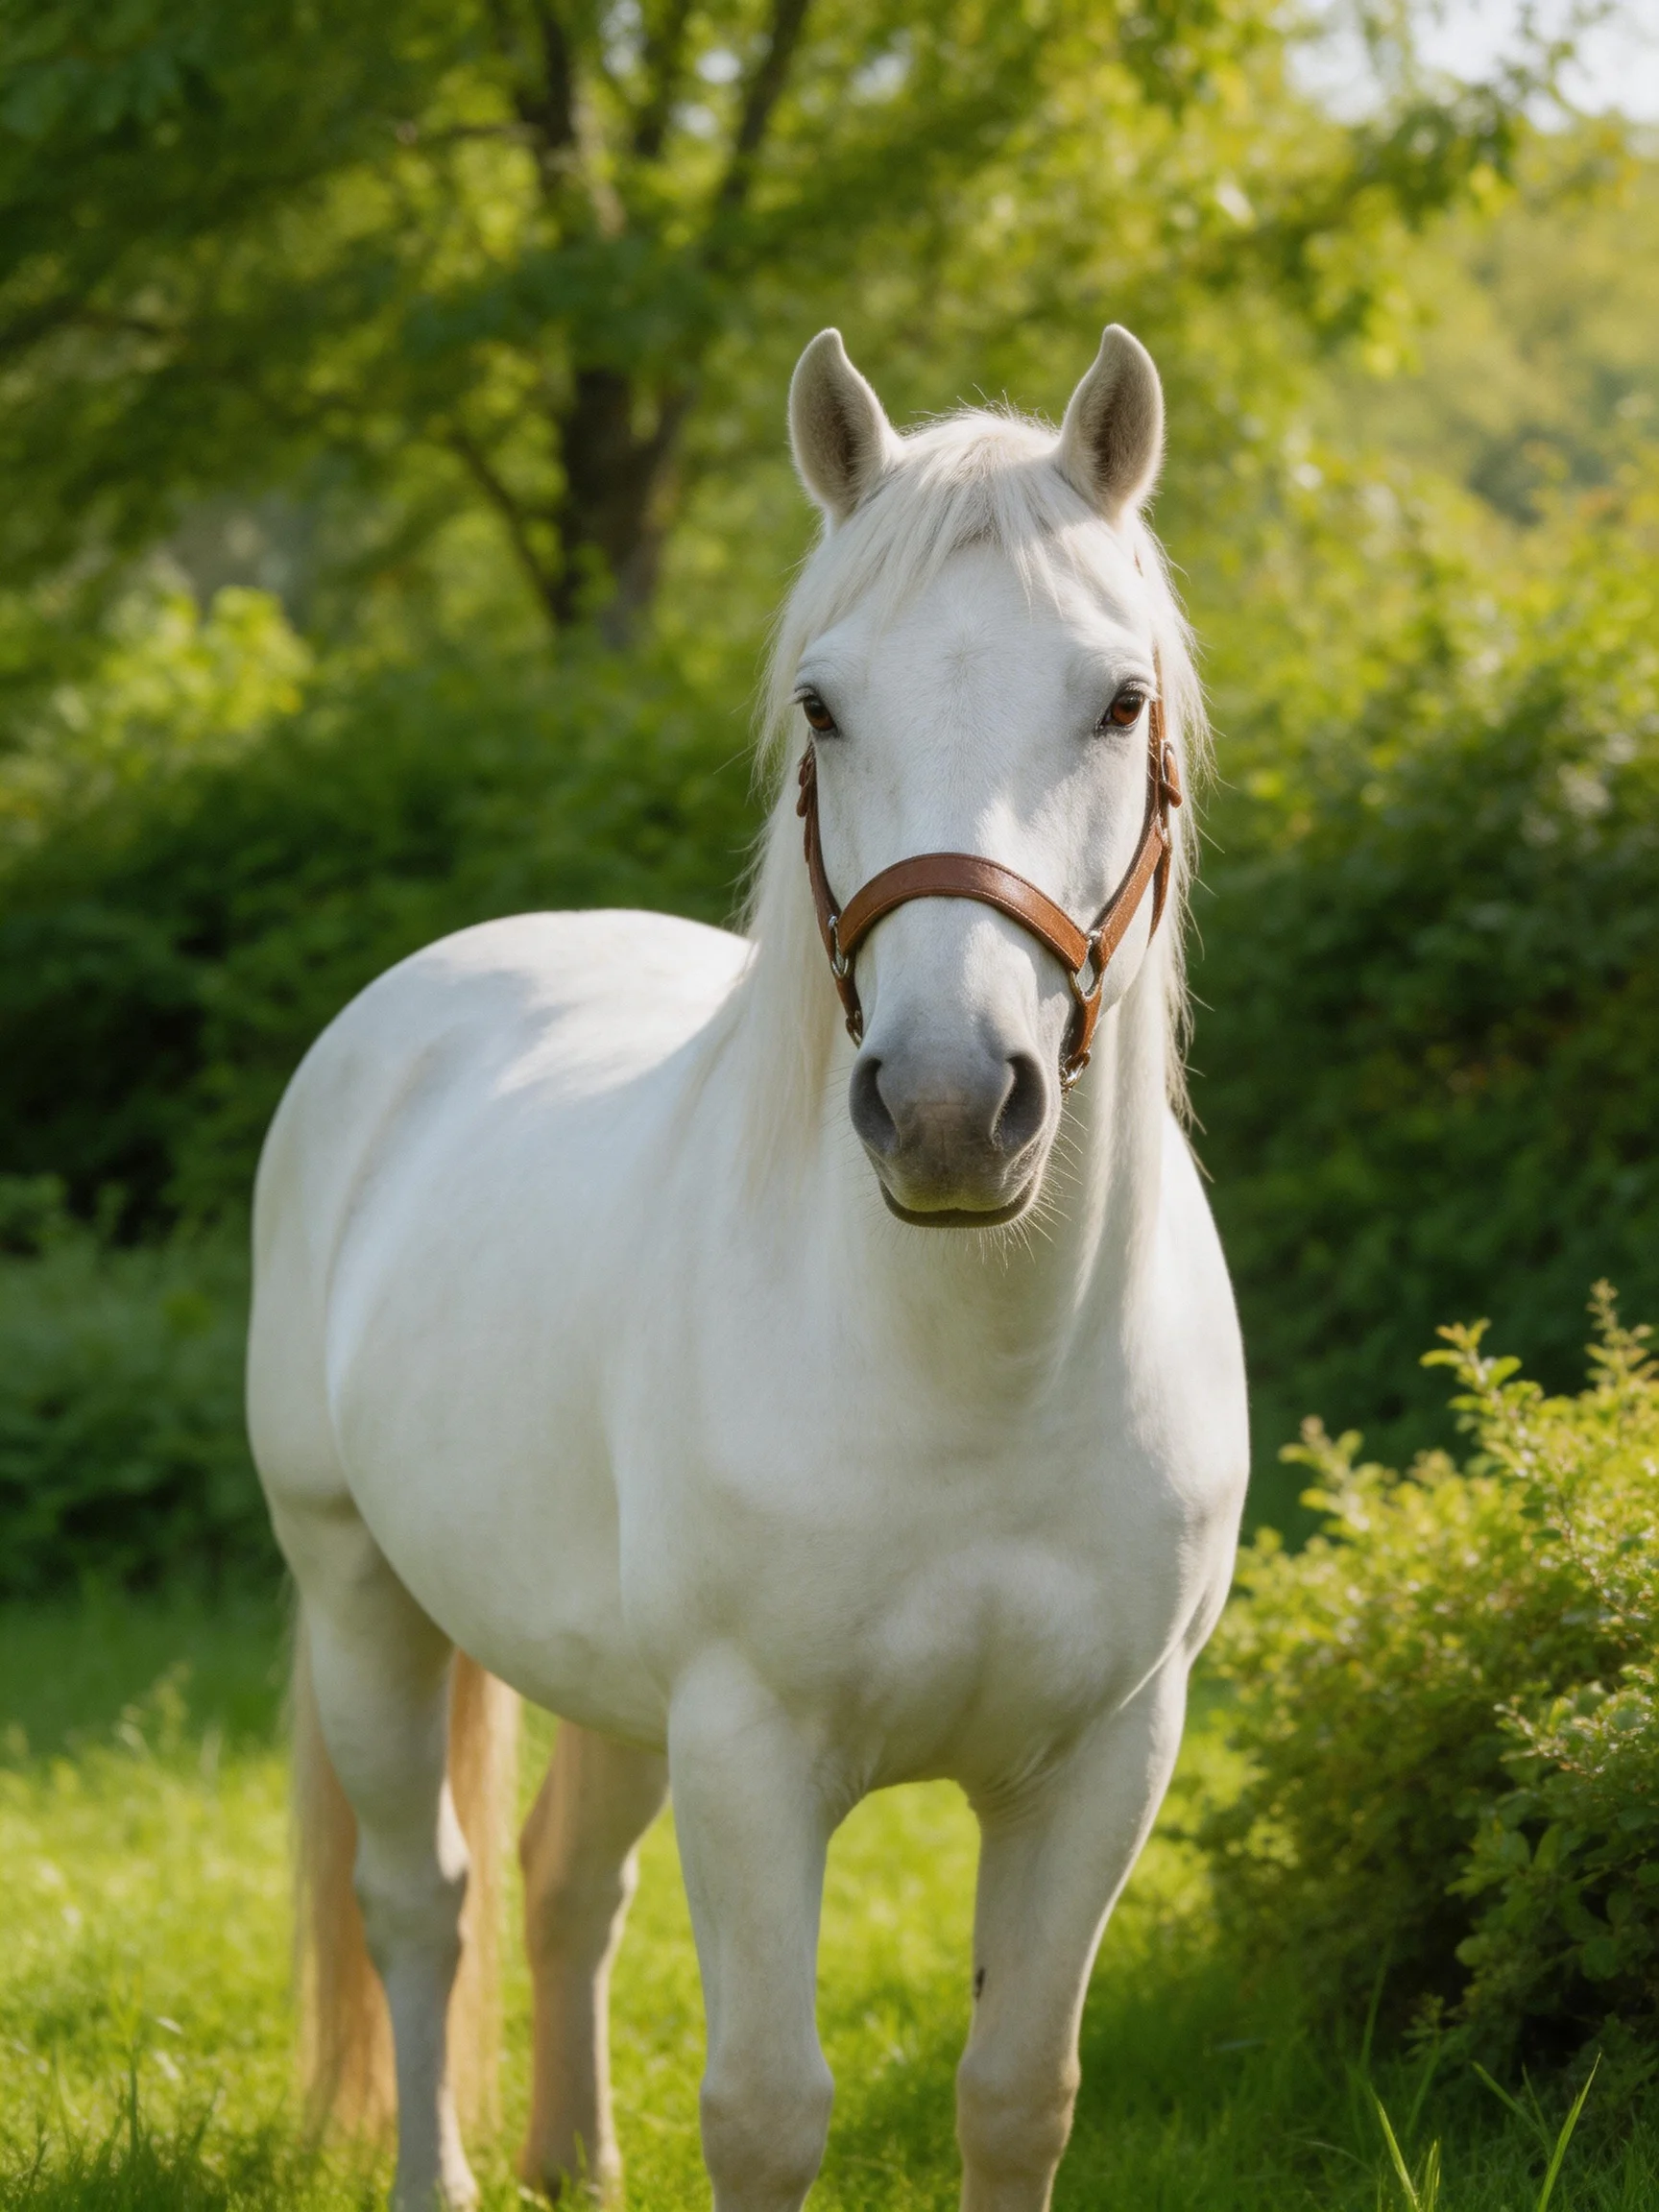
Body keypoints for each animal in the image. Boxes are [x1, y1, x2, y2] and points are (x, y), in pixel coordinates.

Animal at [247, 322, 1249, 2212]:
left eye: (1117, 699)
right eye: (821, 704)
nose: (949, 1109)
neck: (975, 1371)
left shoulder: (1101, 1762)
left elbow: (1017, 2090)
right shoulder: (751, 1751)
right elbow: (770, 2107)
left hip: (604, 1684)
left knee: (564, 1883)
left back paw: (577, 2161)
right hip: (362, 1597)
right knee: (422, 1903)